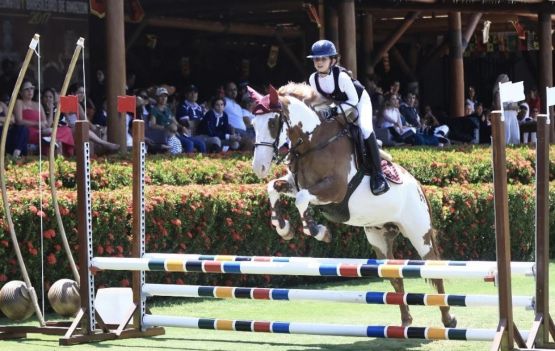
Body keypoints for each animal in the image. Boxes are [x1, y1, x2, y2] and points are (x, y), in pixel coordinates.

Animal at [251, 84, 456, 328]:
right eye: (252, 124)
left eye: (272, 123)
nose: (259, 167)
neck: (313, 144)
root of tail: (418, 186)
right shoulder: (296, 183)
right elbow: (273, 187)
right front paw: (283, 228)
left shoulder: (335, 190)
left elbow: (301, 199)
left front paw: (318, 231)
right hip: (379, 238)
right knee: (395, 275)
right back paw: (406, 321)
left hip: (419, 233)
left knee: (434, 270)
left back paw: (448, 319)